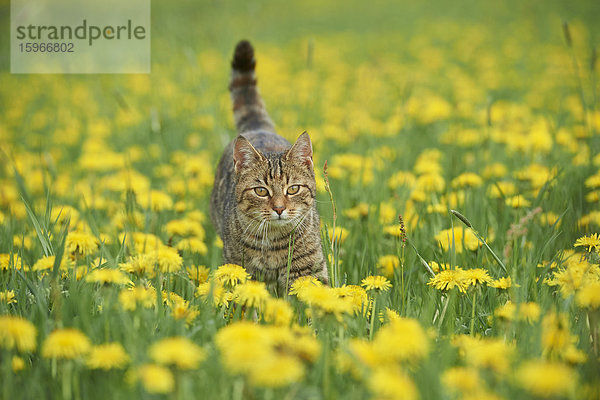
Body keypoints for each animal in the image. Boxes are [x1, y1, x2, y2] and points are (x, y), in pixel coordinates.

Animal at [211, 39, 330, 290]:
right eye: (261, 191)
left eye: (293, 189)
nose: (279, 208)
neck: (274, 242)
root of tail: (259, 128)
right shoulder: (239, 268)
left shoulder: (309, 271)